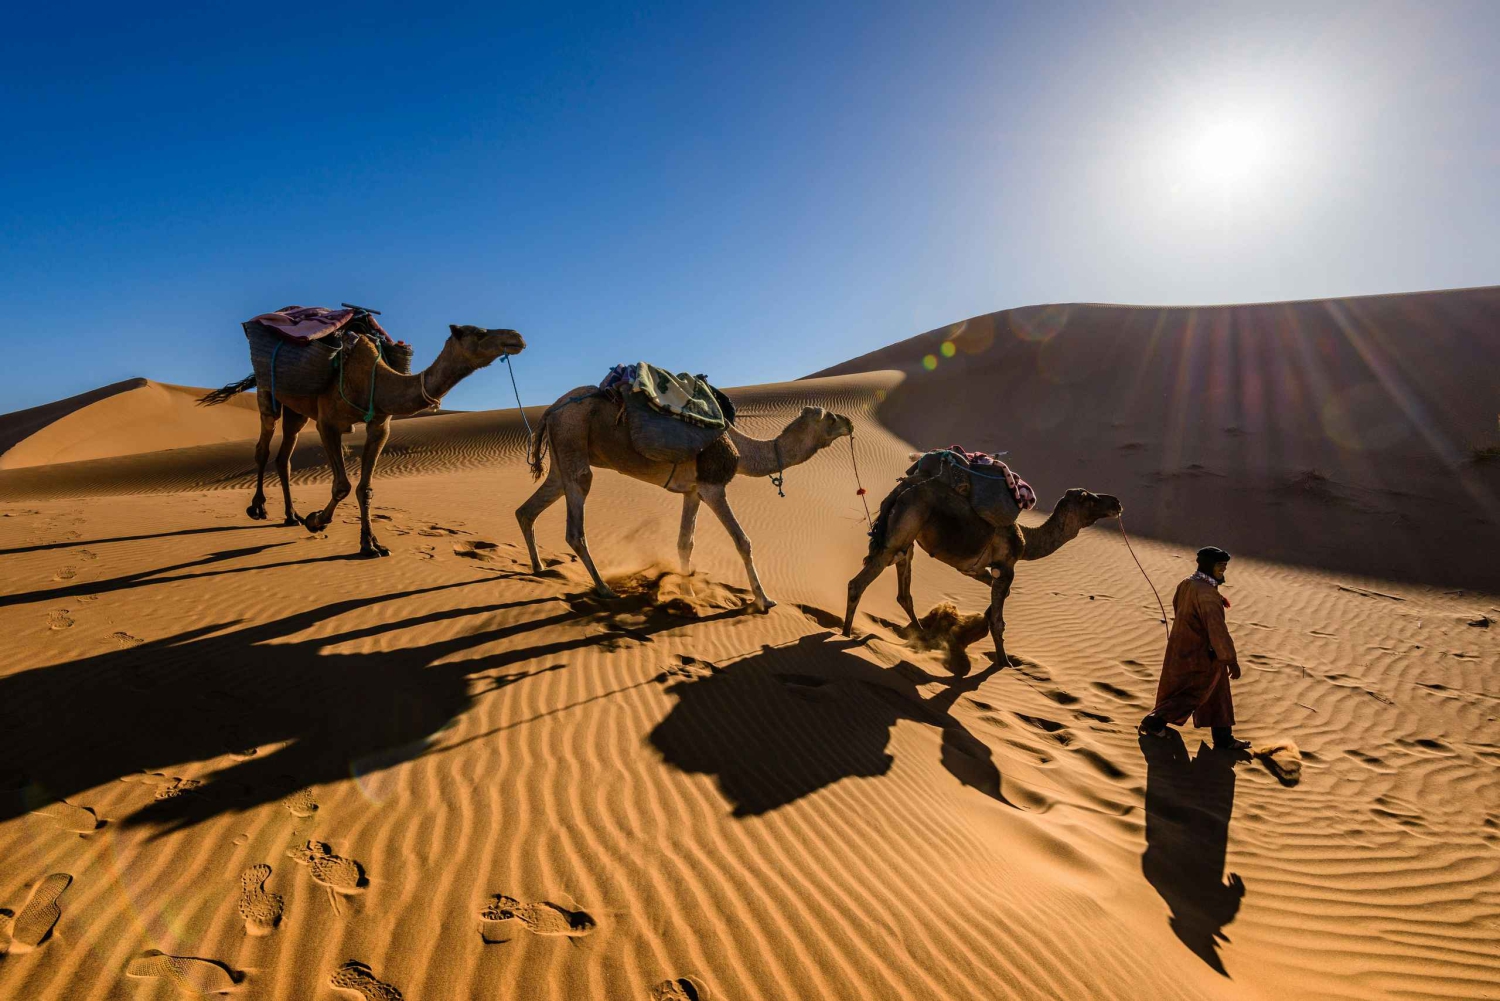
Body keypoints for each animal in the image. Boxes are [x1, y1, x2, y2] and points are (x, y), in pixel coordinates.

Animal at [201, 324, 525, 556]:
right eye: (480, 332)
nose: (517, 337)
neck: (374, 379)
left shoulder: (380, 425)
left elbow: (365, 488)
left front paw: (371, 544)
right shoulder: (328, 422)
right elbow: (342, 485)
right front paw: (316, 521)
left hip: (297, 410)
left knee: (284, 457)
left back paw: (291, 516)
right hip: (267, 392)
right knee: (263, 447)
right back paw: (258, 508)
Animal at [518, 389, 854, 611]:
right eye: (829, 417)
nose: (849, 422)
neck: (742, 449)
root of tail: (550, 410)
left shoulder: (693, 491)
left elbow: (685, 542)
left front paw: (687, 593)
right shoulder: (713, 486)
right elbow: (743, 541)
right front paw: (764, 600)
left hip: (562, 455)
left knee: (528, 509)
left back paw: (539, 568)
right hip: (573, 437)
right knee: (575, 521)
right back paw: (603, 589)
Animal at [842, 476, 1121, 665]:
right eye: (1088, 498)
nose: (1116, 502)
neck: (1026, 541)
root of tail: (901, 490)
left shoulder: (976, 570)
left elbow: (999, 598)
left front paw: (980, 623)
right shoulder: (1006, 568)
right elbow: (999, 621)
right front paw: (1004, 663)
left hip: (906, 539)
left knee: (903, 590)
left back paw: (921, 634)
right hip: (901, 530)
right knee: (860, 583)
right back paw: (845, 634)